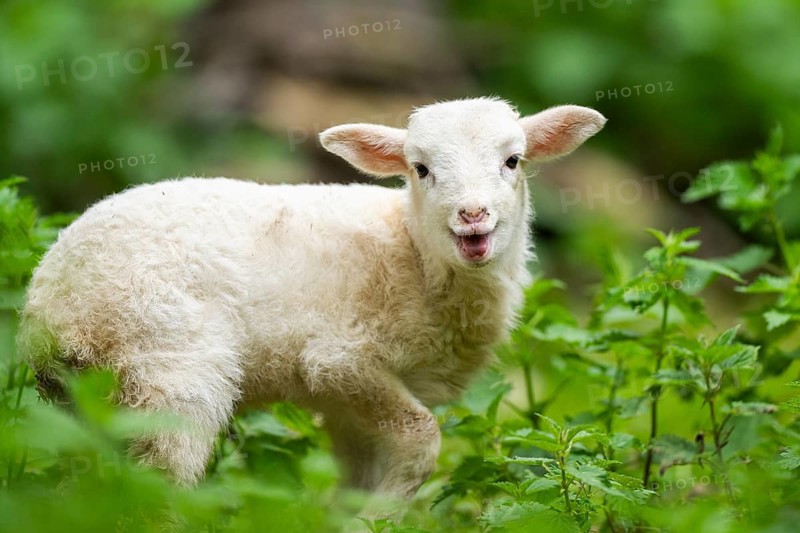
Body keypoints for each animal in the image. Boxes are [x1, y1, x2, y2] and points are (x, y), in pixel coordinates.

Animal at [18, 97, 605, 498]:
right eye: (420, 169)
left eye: (513, 161)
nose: (473, 215)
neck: (412, 256)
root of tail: (48, 308)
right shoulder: (338, 362)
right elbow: (422, 439)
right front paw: (381, 516)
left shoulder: (349, 405)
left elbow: (357, 475)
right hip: (165, 365)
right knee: (156, 477)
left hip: (89, 397)